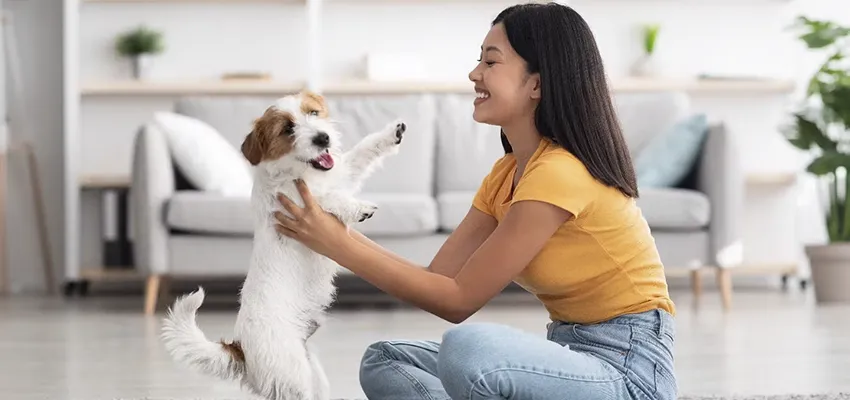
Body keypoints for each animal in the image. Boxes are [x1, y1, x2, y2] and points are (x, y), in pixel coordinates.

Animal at [162, 90, 408, 400]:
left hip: (313, 375)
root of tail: (241, 350)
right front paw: (357, 207)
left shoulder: (341, 174)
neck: (299, 173)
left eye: (313, 113)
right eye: (288, 129)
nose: (323, 138)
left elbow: (361, 153)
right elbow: (327, 201)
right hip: (295, 378)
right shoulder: (300, 207)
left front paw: (391, 134)